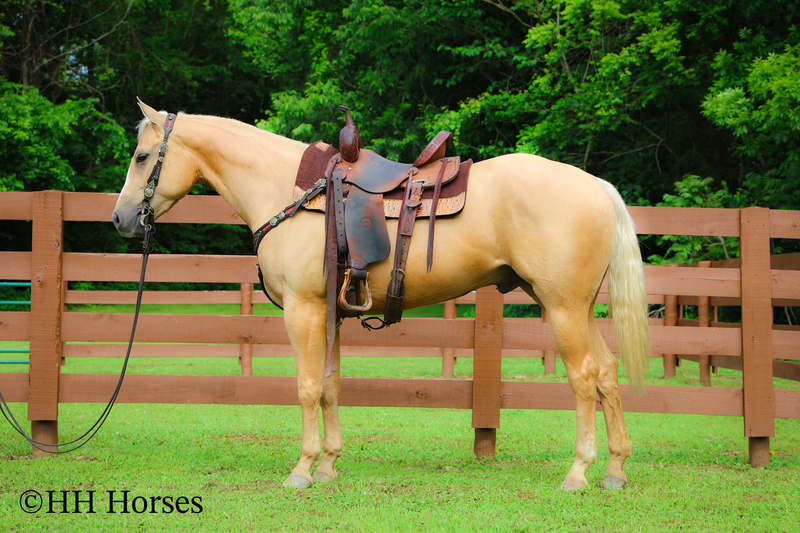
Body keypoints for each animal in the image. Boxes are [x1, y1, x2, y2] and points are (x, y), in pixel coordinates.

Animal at [113, 100, 650, 491]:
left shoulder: (303, 310)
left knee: (584, 377)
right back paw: (615, 470)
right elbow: (330, 386)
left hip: (562, 309)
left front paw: (302, 469)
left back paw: (579, 472)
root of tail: (597, 186)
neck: (290, 191)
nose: (119, 219)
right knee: (607, 373)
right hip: (579, 309)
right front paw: (328, 465)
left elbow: (307, 387)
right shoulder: (329, 314)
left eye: (142, 157)